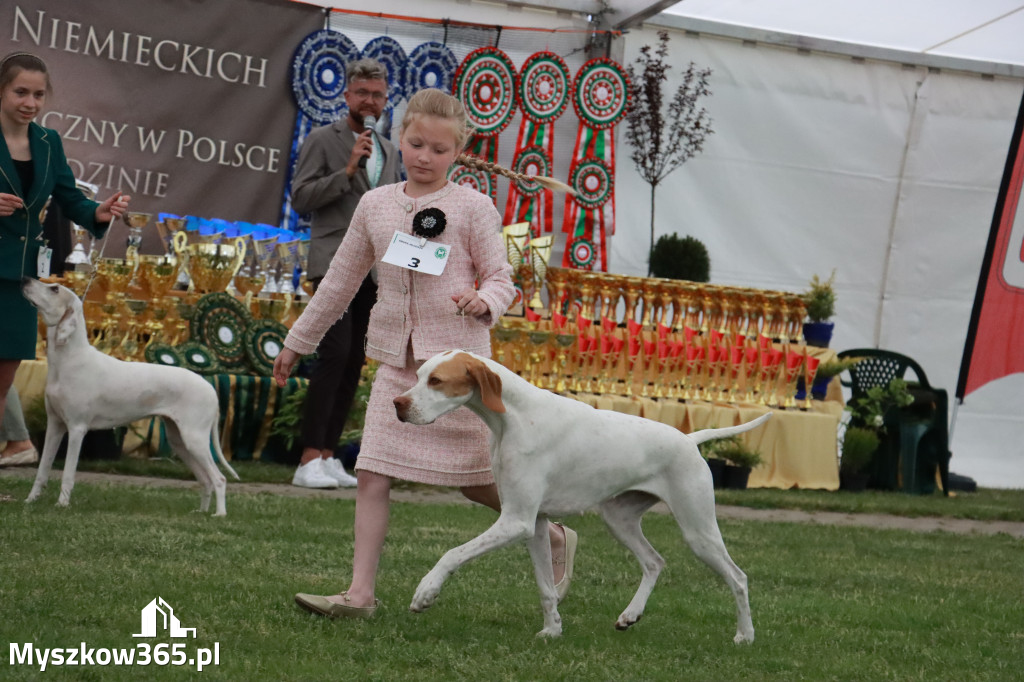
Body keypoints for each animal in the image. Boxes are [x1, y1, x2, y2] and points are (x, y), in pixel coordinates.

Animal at [22, 278, 239, 512]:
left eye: (54, 289)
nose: (25, 279)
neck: (69, 360)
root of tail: (210, 389)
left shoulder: (77, 429)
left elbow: (68, 474)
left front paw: (62, 505)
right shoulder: (55, 426)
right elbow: (42, 471)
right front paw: (30, 501)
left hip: (194, 439)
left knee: (219, 479)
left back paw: (219, 515)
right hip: (180, 441)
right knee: (205, 480)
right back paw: (201, 513)